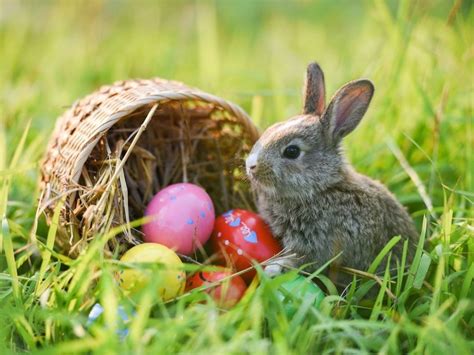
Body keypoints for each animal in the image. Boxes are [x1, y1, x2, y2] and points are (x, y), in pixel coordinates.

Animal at [246, 62, 416, 286]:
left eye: (292, 151)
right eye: (269, 130)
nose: (250, 165)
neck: (321, 188)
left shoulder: (317, 246)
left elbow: (304, 261)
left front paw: (273, 269)